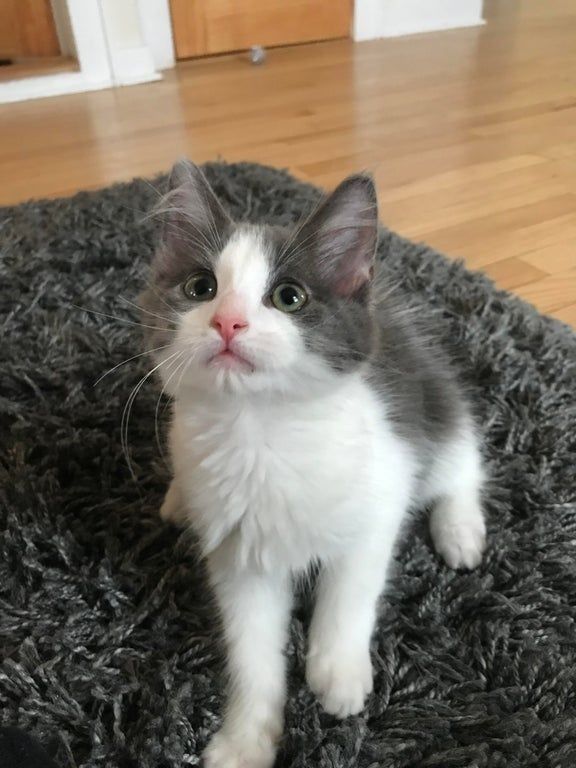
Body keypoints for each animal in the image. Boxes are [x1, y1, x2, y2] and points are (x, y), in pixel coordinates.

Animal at [140, 160, 486, 768]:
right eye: (201, 288)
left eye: (289, 297)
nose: (228, 323)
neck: (259, 432)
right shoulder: (239, 551)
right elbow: (252, 649)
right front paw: (246, 740)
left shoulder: (379, 495)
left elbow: (350, 593)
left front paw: (338, 674)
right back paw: (178, 501)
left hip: (432, 399)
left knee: (461, 460)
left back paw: (461, 530)